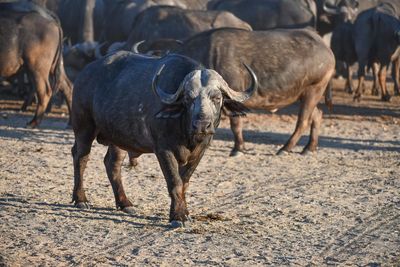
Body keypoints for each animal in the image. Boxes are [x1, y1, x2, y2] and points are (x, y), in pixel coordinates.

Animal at [70, 51, 258, 226]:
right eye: (188, 98)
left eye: (217, 97)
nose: (202, 125)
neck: (186, 134)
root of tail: (84, 74)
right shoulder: (163, 150)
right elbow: (175, 182)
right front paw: (178, 217)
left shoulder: (200, 151)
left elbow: (184, 183)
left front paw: (183, 212)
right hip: (84, 127)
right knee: (80, 157)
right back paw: (81, 199)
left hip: (119, 139)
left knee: (112, 163)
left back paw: (125, 203)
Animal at [175, 27, 334, 155]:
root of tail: (325, 47)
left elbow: (236, 124)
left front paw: (238, 148)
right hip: (305, 94)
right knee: (317, 115)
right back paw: (309, 148)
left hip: (314, 89)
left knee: (303, 121)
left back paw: (285, 148)